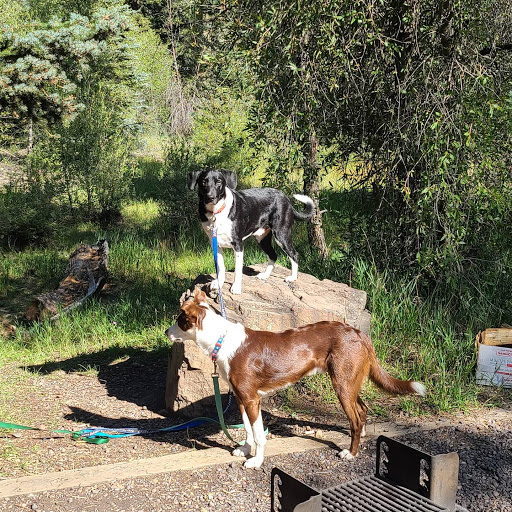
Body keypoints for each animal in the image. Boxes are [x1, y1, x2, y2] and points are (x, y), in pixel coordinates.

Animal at [166, 288, 426, 468]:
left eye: (179, 321)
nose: (166, 332)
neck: (222, 339)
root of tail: (360, 334)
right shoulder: (241, 398)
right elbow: (249, 430)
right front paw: (245, 449)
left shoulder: (252, 399)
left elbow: (259, 435)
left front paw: (256, 461)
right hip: (350, 382)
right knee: (361, 410)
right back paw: (360, 435)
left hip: (342, 385)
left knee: (355, 416)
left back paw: (351, 452)